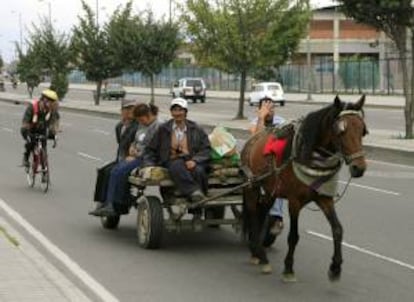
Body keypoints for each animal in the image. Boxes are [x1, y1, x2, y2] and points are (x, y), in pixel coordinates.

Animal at [241, 94, 368, 280]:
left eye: (362, 131)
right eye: (341, 131)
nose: (359, 168)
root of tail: (254, 135)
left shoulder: (324, 197)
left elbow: (337, 229)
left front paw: (335, 267)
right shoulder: (295, 201)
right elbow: (293, 236)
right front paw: (288, 268)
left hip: (272, 189)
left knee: (262, 211)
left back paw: (257, 251)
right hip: (252, 185)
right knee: (252, 214)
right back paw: (261, 254)